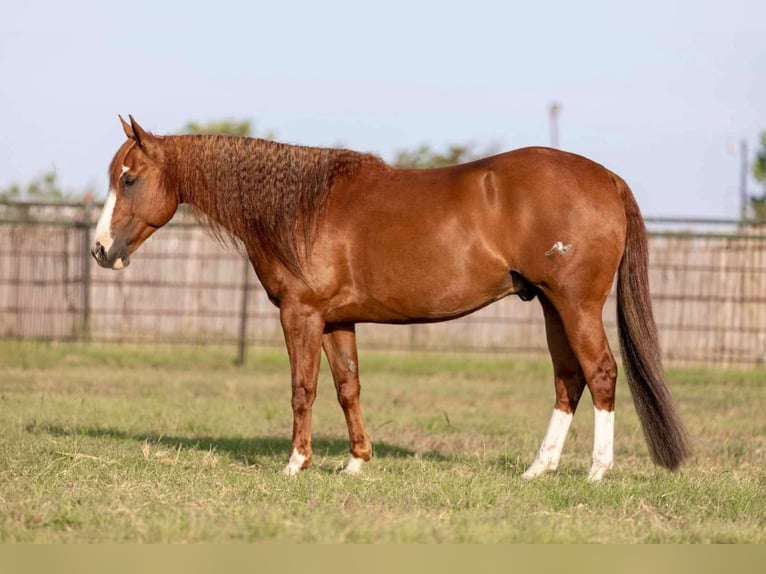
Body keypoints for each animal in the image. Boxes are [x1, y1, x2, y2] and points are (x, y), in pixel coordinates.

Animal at [92, 115, 690, 481]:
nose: (99, 249)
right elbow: (347, 387)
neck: (299, 209)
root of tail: (606, 177)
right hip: (548, 304)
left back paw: (596, 471)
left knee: (601, 373)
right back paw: (538, 469)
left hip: (575, 304)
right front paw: (357, 461)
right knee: (569, 379)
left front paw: (296, 462)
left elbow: (303, 389)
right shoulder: (336, 321)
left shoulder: (301, 315)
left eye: (130, 178)